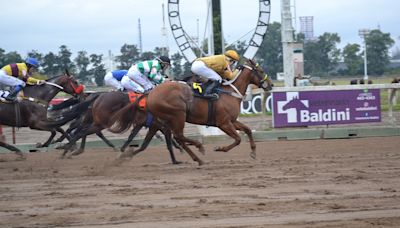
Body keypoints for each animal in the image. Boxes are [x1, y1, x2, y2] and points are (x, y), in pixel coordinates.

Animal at [109, 59, 274, 166]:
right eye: (260, 71)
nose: (270, 84)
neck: (229, 92)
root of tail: (150, 93)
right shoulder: (223, 123)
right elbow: (238, 139)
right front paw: (220, 148)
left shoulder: (232, 121)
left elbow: (248, 130)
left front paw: (253, 153)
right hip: (178, 115)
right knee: (179, 136)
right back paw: (199, 148)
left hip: (162, 120)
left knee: (172, 138)